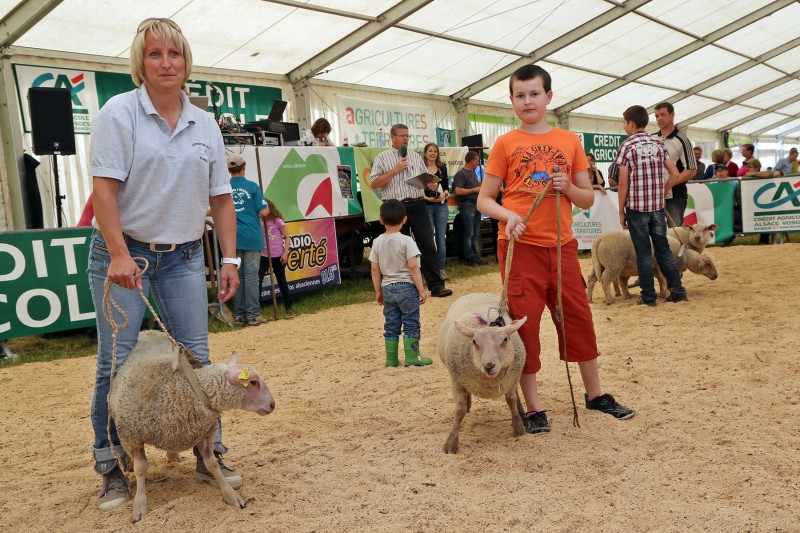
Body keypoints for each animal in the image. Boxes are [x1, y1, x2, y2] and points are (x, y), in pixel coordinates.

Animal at [108, 330, 276, 520]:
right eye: (253, 382)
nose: (272, 405)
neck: (191, 390)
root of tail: (147, 331)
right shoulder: (132, 437)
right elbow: (140, 469)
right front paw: (139, 505)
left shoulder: (204, 434)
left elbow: (212, 464)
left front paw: (231, 495)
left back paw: (173, 455)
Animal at [434, 290, 528, 454]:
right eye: (474, 342)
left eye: (505, 339)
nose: (489, 366)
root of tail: (475, 292)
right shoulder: (457, 382)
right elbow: (459, 412)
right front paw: (451, 444)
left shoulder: (512, 379)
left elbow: (511, 400)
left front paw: (519, 428)